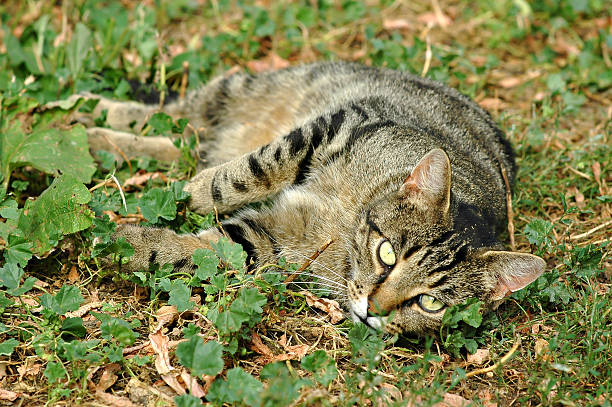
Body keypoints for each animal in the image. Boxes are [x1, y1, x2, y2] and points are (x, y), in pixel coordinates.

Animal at [73, 60, 544, 334]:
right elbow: (249, 174)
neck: (350, 220)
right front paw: (196, 193)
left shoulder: (272, 242)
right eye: (388, 254)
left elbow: (199, 249)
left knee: (184, 141)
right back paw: (86, 112)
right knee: (175, 114)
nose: (374, 308)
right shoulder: (331, 126)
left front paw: (129, 245)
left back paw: (95, 137)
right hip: (239, 91)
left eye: (429, 303)